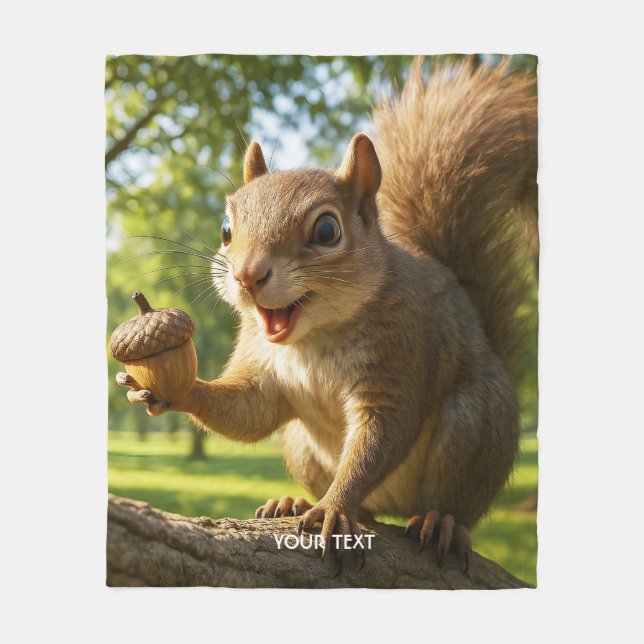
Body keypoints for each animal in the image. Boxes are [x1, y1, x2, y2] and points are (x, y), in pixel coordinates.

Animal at [117, 57, 537, 572]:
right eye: (225, 229)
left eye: (326, 231)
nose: (247, 275)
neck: (311, 339)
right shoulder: (261, 364)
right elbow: (247, 410)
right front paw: (174, 390)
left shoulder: (401, 353)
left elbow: (379, 437)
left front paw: (335, 509)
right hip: (300, 445)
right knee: (366, 507)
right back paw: (295, 501)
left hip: (474, 425)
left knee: (455, 503)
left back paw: (440, 521)